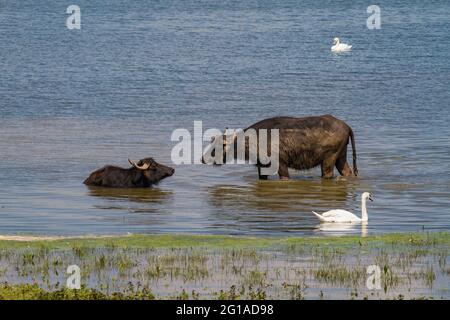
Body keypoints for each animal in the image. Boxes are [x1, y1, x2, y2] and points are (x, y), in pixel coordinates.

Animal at [202, 115, 356, 180]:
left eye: (220, 145)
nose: (203, 158)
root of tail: (347, 126)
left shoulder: (281, 164)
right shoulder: (262, 166)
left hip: (329, 159)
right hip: (341, 156)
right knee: (348, 172)